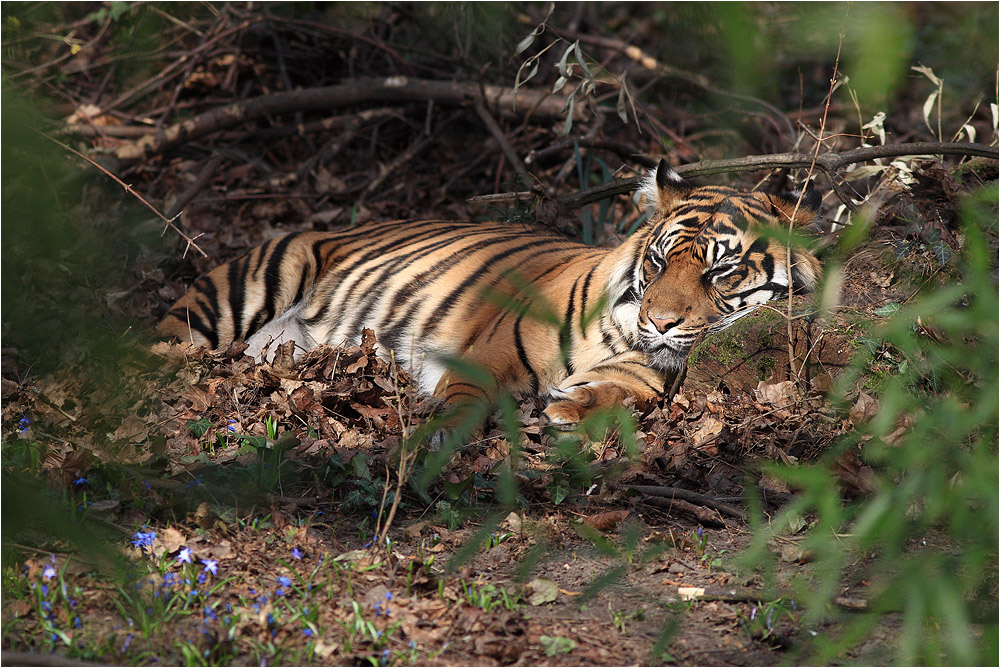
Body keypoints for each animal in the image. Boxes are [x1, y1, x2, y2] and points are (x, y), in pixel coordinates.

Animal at [160, 159, 820, 426]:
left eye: (720, 270)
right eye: (658, 263)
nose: (658, 322)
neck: (619, 335)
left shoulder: (643, 380)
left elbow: (617, 395)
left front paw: (569, 407)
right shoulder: (485, 356)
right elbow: (461, 405)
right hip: (257, 281)